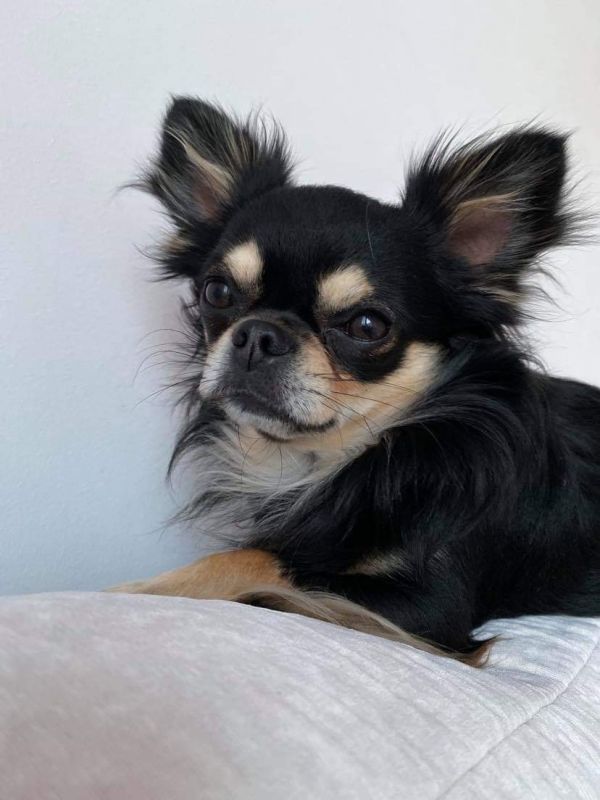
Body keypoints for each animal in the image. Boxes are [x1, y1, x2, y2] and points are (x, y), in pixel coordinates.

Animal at [112, 97, 600, 665]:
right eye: (217, 292)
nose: (259, 334)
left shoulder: (432, 604)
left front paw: (141, 589)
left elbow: (262, 562)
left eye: (367, 326)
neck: (335, 459)